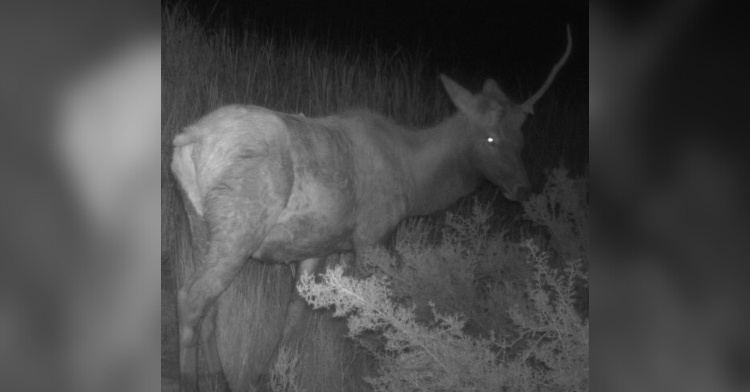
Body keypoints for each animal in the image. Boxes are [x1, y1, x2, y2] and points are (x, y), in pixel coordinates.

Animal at [169, 26, 568, 390]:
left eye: (521, 137)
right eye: (489, 137)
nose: (523, 188)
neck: (414, 179)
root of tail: (189, 139)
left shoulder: (316, 245)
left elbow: (296, 313)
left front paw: (266, 376)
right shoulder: (372, 237)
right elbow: (367, 313)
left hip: (200, 224)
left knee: (210, 305)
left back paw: (221, 379)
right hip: (239, 225)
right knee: (191, 298)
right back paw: (191, 381)